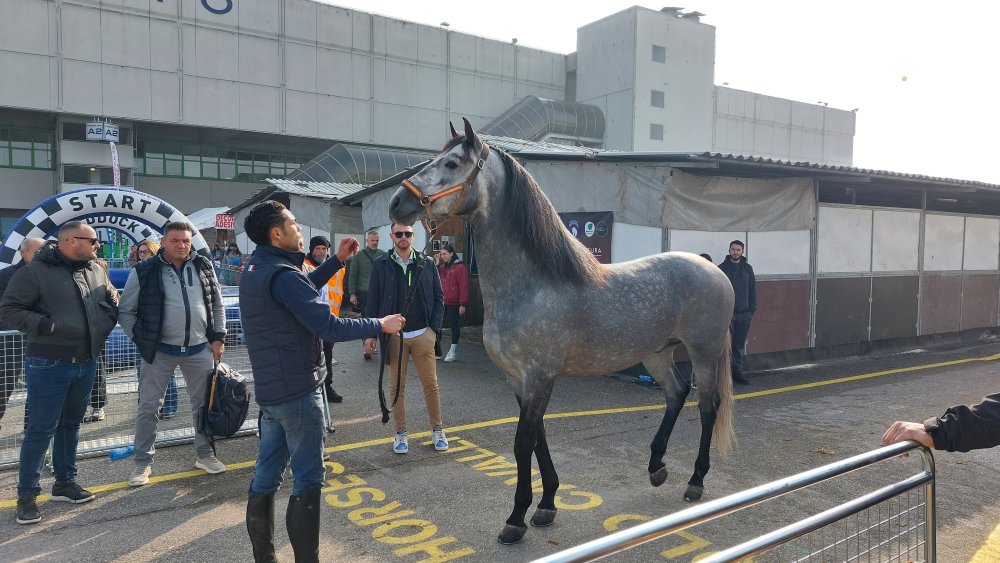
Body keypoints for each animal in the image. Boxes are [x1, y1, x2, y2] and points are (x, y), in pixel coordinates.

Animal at [389, 118, 736, 545]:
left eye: (452, 163)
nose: (397, 204)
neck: (533, 285)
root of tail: (714, 269)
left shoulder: (539, 376)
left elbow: (523, 443)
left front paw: (517, 518)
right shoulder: (519, 379)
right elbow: (537, 438)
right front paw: (547, 504)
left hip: (704, 352)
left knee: (707, 406)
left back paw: (695, 480)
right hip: (657, 353)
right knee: (676, 393)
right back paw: (657, 466)